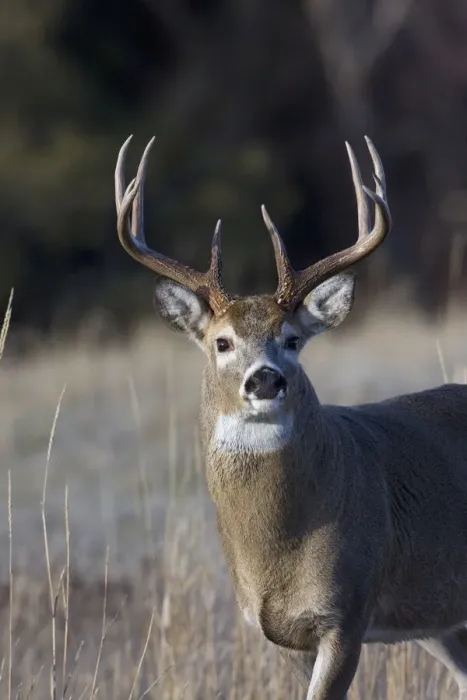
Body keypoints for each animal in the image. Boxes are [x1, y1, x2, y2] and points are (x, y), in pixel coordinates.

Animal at [114, 134, 467, 700]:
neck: (276, 554)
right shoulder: (277, 634)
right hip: (441, 619)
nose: (264, 380)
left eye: (293, 339)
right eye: (222, 342)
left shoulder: (347, 611)